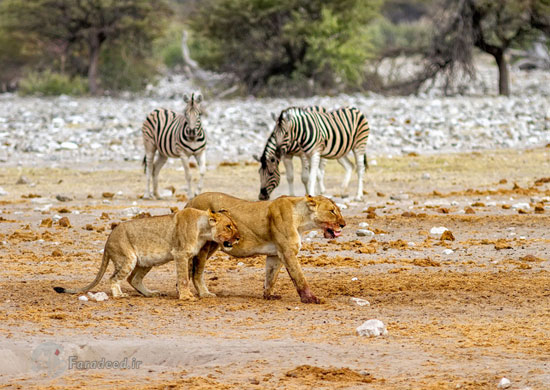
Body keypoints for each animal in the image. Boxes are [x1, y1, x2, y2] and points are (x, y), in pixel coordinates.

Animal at [53, 209, 239, 300]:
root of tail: (108, 239)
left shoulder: (189, 255)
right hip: (127, 258)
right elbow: (184, 278)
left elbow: (191, 276)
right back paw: (120, 295)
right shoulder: (180, 254)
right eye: (228, 226)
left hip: (146, 261)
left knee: (132, 279)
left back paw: (150, 293)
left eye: (234, 225)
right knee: (114, 278)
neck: (203, 230)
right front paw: (186, 297)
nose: (238, 237)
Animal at [188, 193, 348, 304]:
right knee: (197, 272)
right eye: (332, 211)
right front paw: (311, 299)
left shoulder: (275, 254)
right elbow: (300, 278)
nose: (343, 224)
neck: (302, 220)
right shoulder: (287, 252)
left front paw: (268, 296)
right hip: (205, 247)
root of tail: (190, 202)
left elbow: (271, 276)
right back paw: (204, 293)